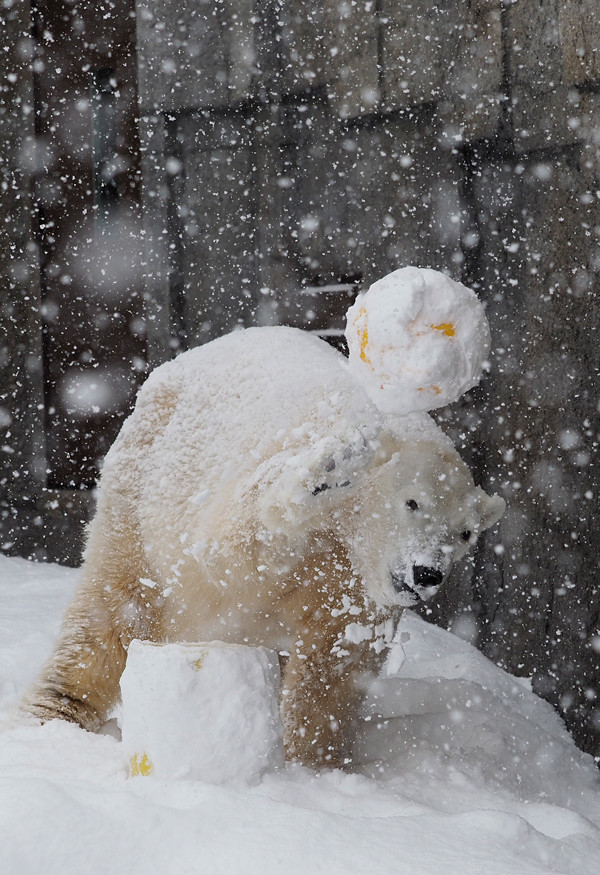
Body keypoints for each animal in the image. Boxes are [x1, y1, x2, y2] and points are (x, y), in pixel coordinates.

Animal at [21, 326, 504, 768]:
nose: (427, 573)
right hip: (139, 487)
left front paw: (313, 760)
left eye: (465, 533)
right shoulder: (277, 470)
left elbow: (336, 663)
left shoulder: (357, 588)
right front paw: (329, 469)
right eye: (412, 502)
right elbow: (229, 545)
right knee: (110, 616)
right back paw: (53, 715)